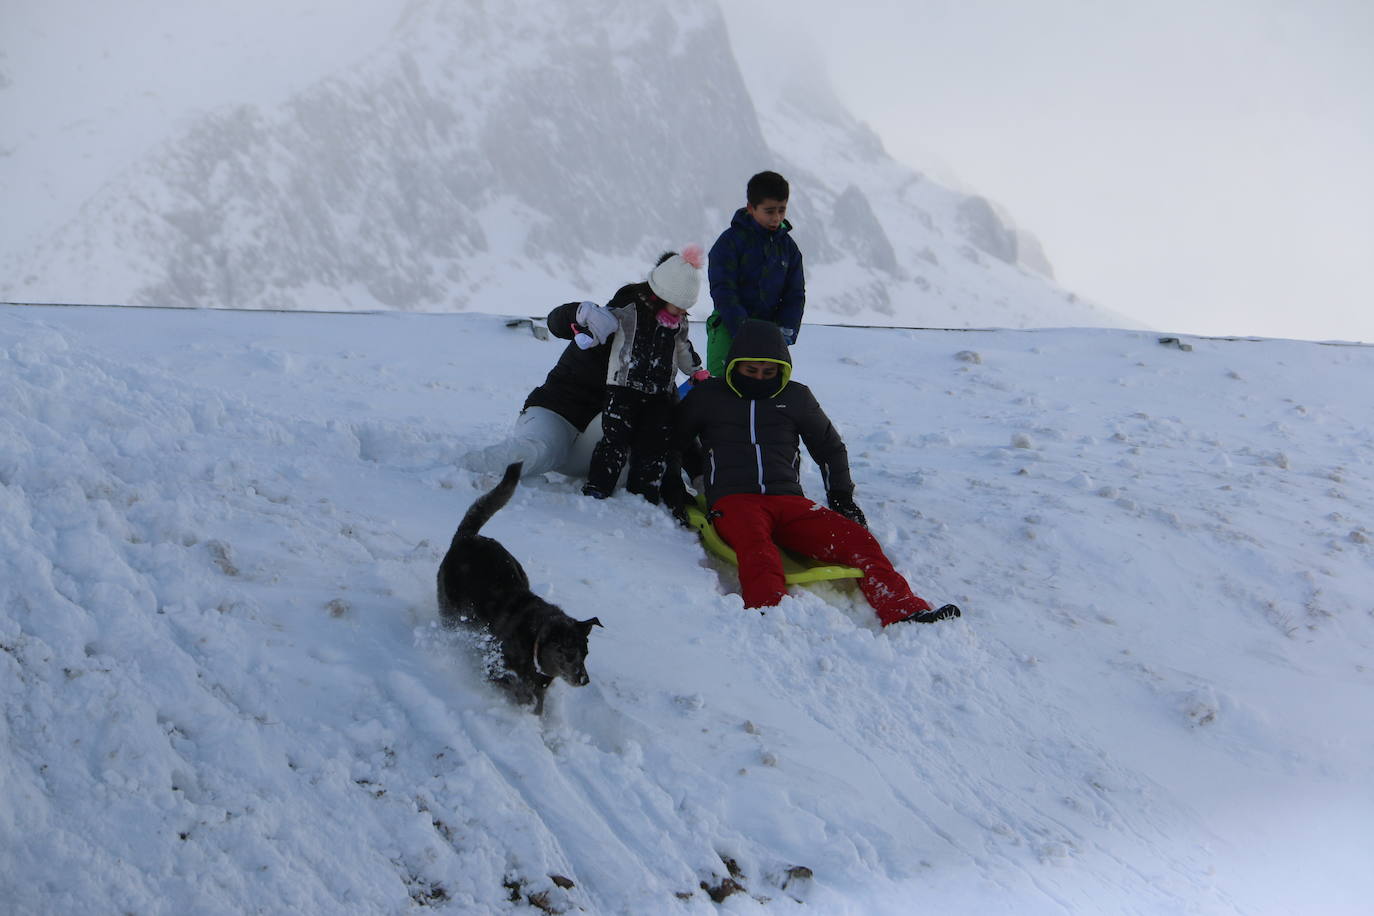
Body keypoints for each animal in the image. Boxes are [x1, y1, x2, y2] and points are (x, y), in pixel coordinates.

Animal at [434, 461, 596, 714]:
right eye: (569, 654)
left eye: (586, 654)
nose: (584, 680)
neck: (535, 641)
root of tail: (468, 537)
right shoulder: (495, 666)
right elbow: (514, 686)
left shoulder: (539, 684)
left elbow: (537, 702)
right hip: (450, 609)